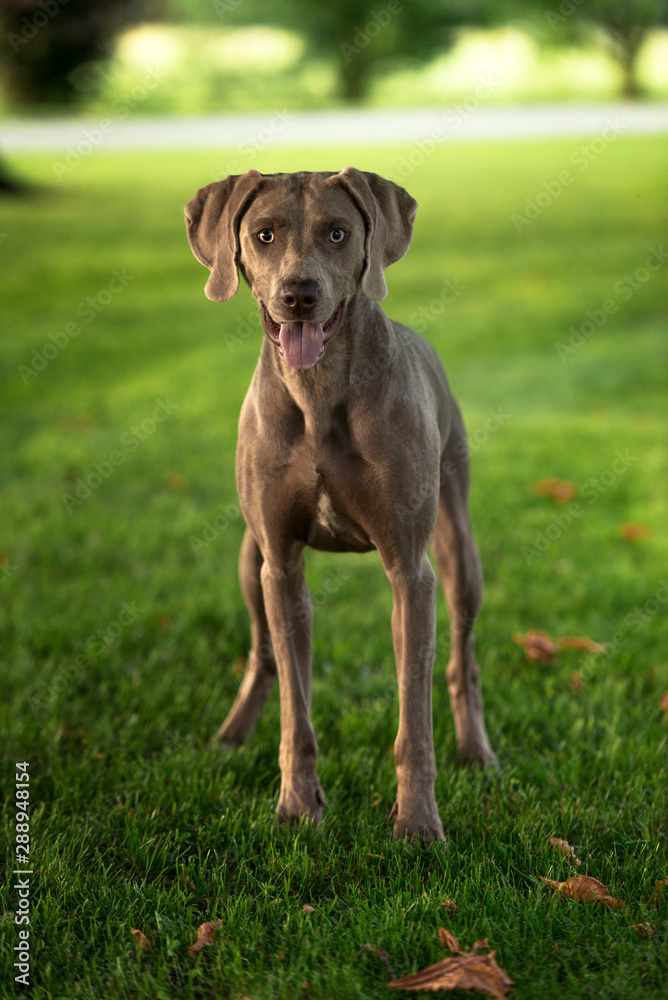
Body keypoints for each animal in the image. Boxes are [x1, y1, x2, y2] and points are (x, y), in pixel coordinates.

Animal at [184, 168, 496, 840]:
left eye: (337, 233)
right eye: (264, 234)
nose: (299, 294)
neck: (318, 390)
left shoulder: (410, 571)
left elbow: (414, 719)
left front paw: (418, 824)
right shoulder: (280, 564)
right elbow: (294, 706)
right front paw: (298, 806)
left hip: (459, 552)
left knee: (463, 658)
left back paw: (477, 750)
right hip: (248, 563)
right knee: (261, 651)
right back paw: (232, 733)